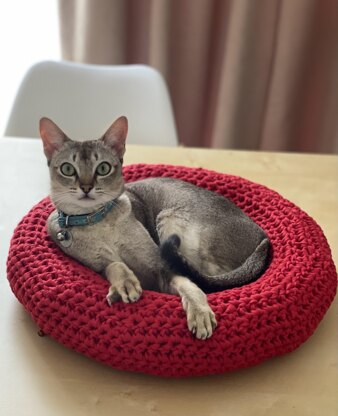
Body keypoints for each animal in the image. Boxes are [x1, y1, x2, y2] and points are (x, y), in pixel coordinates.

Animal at [39, 114, 270, 338]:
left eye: (103, 168)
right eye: (68, 169)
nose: (86, 188)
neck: (99, 224)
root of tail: (264, 237)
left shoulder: (161, 266)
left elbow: (188, 284)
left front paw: (200, 312)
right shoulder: (97, 266)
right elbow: (113, 264)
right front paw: (124, 284)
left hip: (168, 218)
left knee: (209, 276)